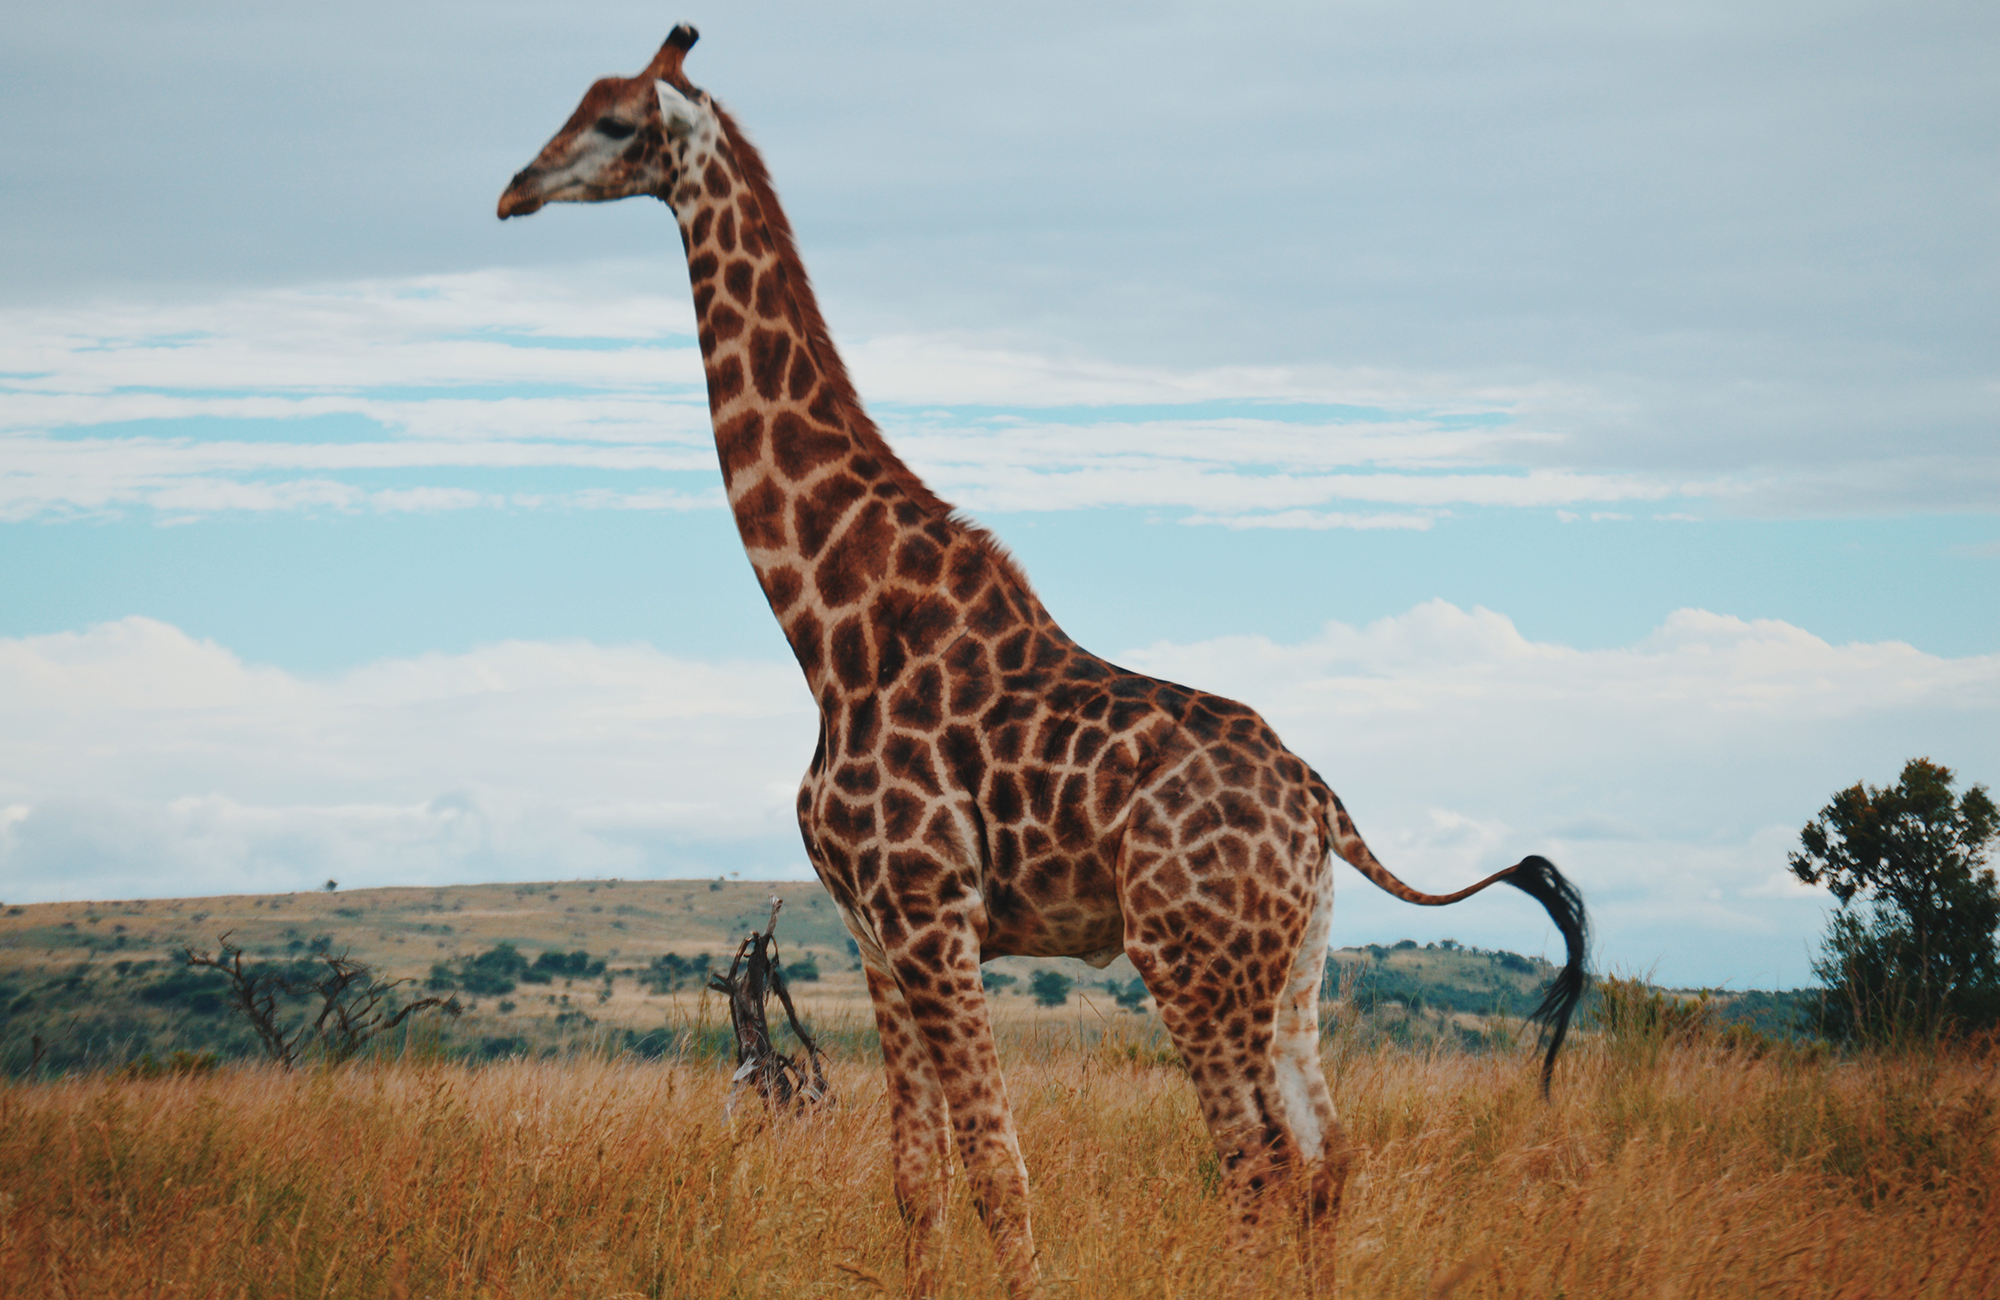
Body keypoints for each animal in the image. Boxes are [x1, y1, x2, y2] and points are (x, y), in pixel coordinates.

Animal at [499, 26, 1587, 1298]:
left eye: (617, 122)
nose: (512, 192)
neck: (835, 631)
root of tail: (1320, 802)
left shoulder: (934, 913)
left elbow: (998, 1173)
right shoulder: (874, 932)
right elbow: (915, 1178)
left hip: (1188, 958)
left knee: (1257, 1158)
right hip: (1292, 965)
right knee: (1327, 1157)